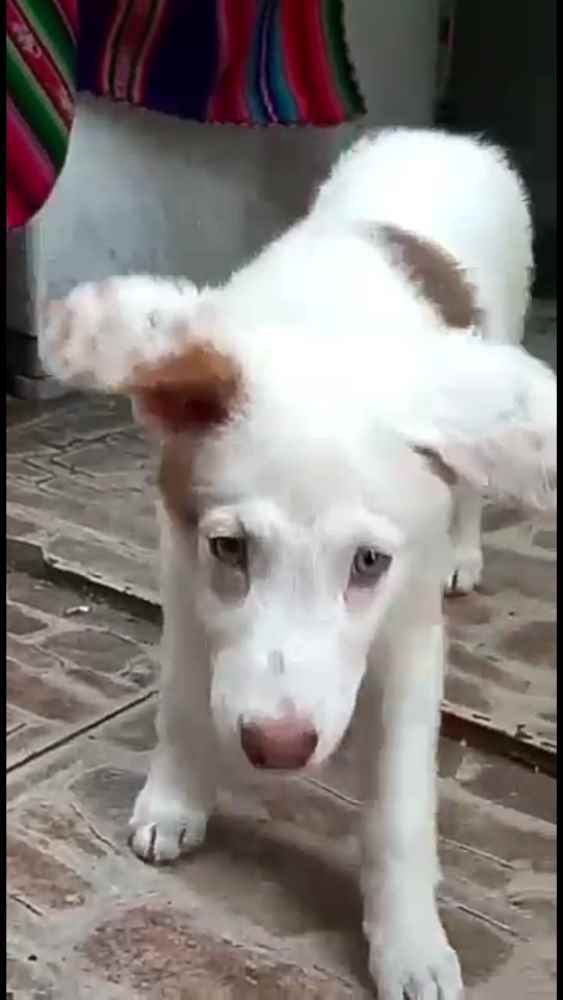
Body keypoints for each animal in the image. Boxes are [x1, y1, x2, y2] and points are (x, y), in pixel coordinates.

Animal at [41, 128, 556, 999]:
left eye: (369, 564)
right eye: (230, 549)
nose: (276, 749)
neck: (328, 335)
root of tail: (441, 136)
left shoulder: (410, 632)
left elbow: (398, 807)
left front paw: (409, 945)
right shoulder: (182, 570)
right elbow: (183, 701)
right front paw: (174, 801)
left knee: (476, 478)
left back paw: (467, 549)